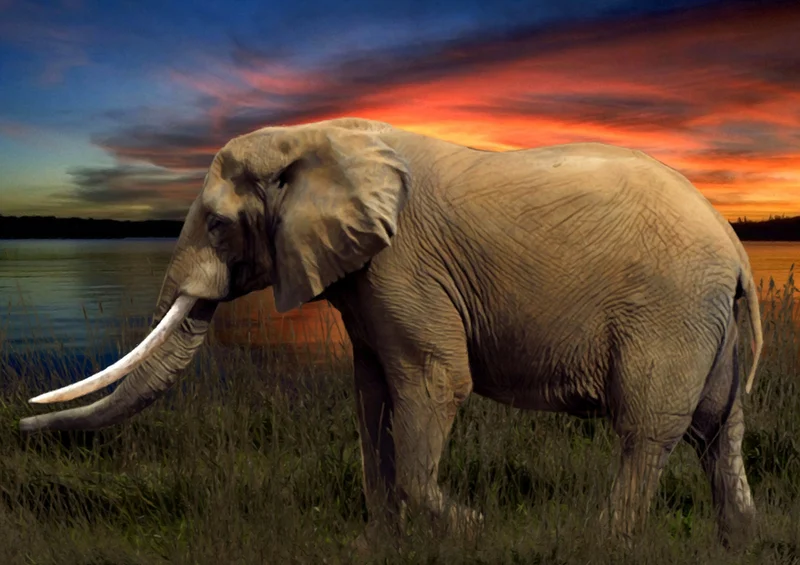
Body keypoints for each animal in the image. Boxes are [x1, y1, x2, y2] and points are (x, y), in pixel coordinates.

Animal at [19, 116, 763, 549]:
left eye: (219, 225)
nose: (20, 424)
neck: (314, 135)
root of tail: (735, 248)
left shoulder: (404, 265)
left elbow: (435, 383)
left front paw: (471, 527)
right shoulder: (367, 280)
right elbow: (372, 393)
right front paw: (384, 542)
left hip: (670, 313)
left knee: (648, 429)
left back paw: (604, 541)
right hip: (707, 321)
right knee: (718, 428)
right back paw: (739, 539)